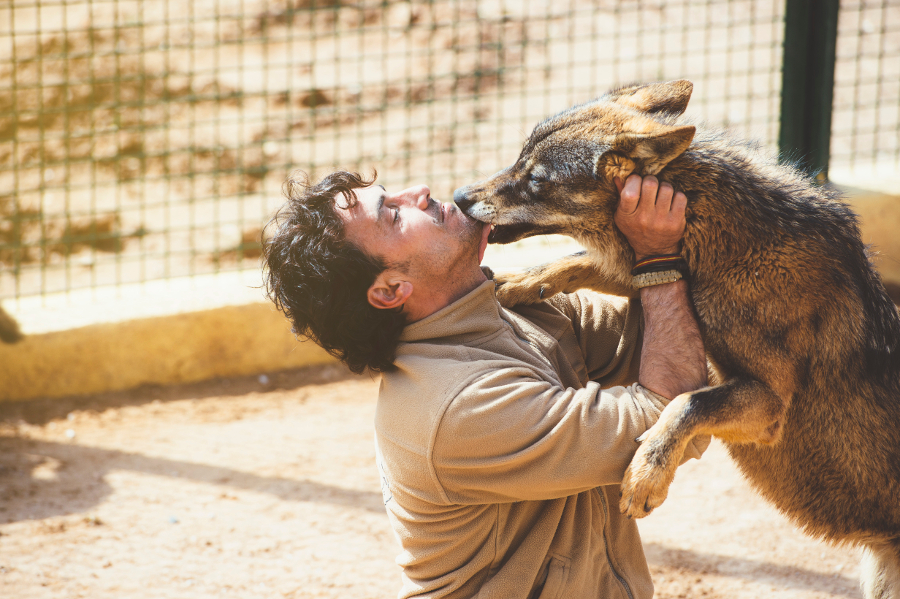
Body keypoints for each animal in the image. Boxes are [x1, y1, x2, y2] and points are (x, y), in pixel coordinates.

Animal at [454, 81, 900, 599]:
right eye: (517, 160)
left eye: (537, 180)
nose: (459, 197)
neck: (727, 239)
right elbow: (576, 261)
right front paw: (514, 284)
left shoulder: (768, 408)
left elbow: (686, 403)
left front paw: (646, 478)